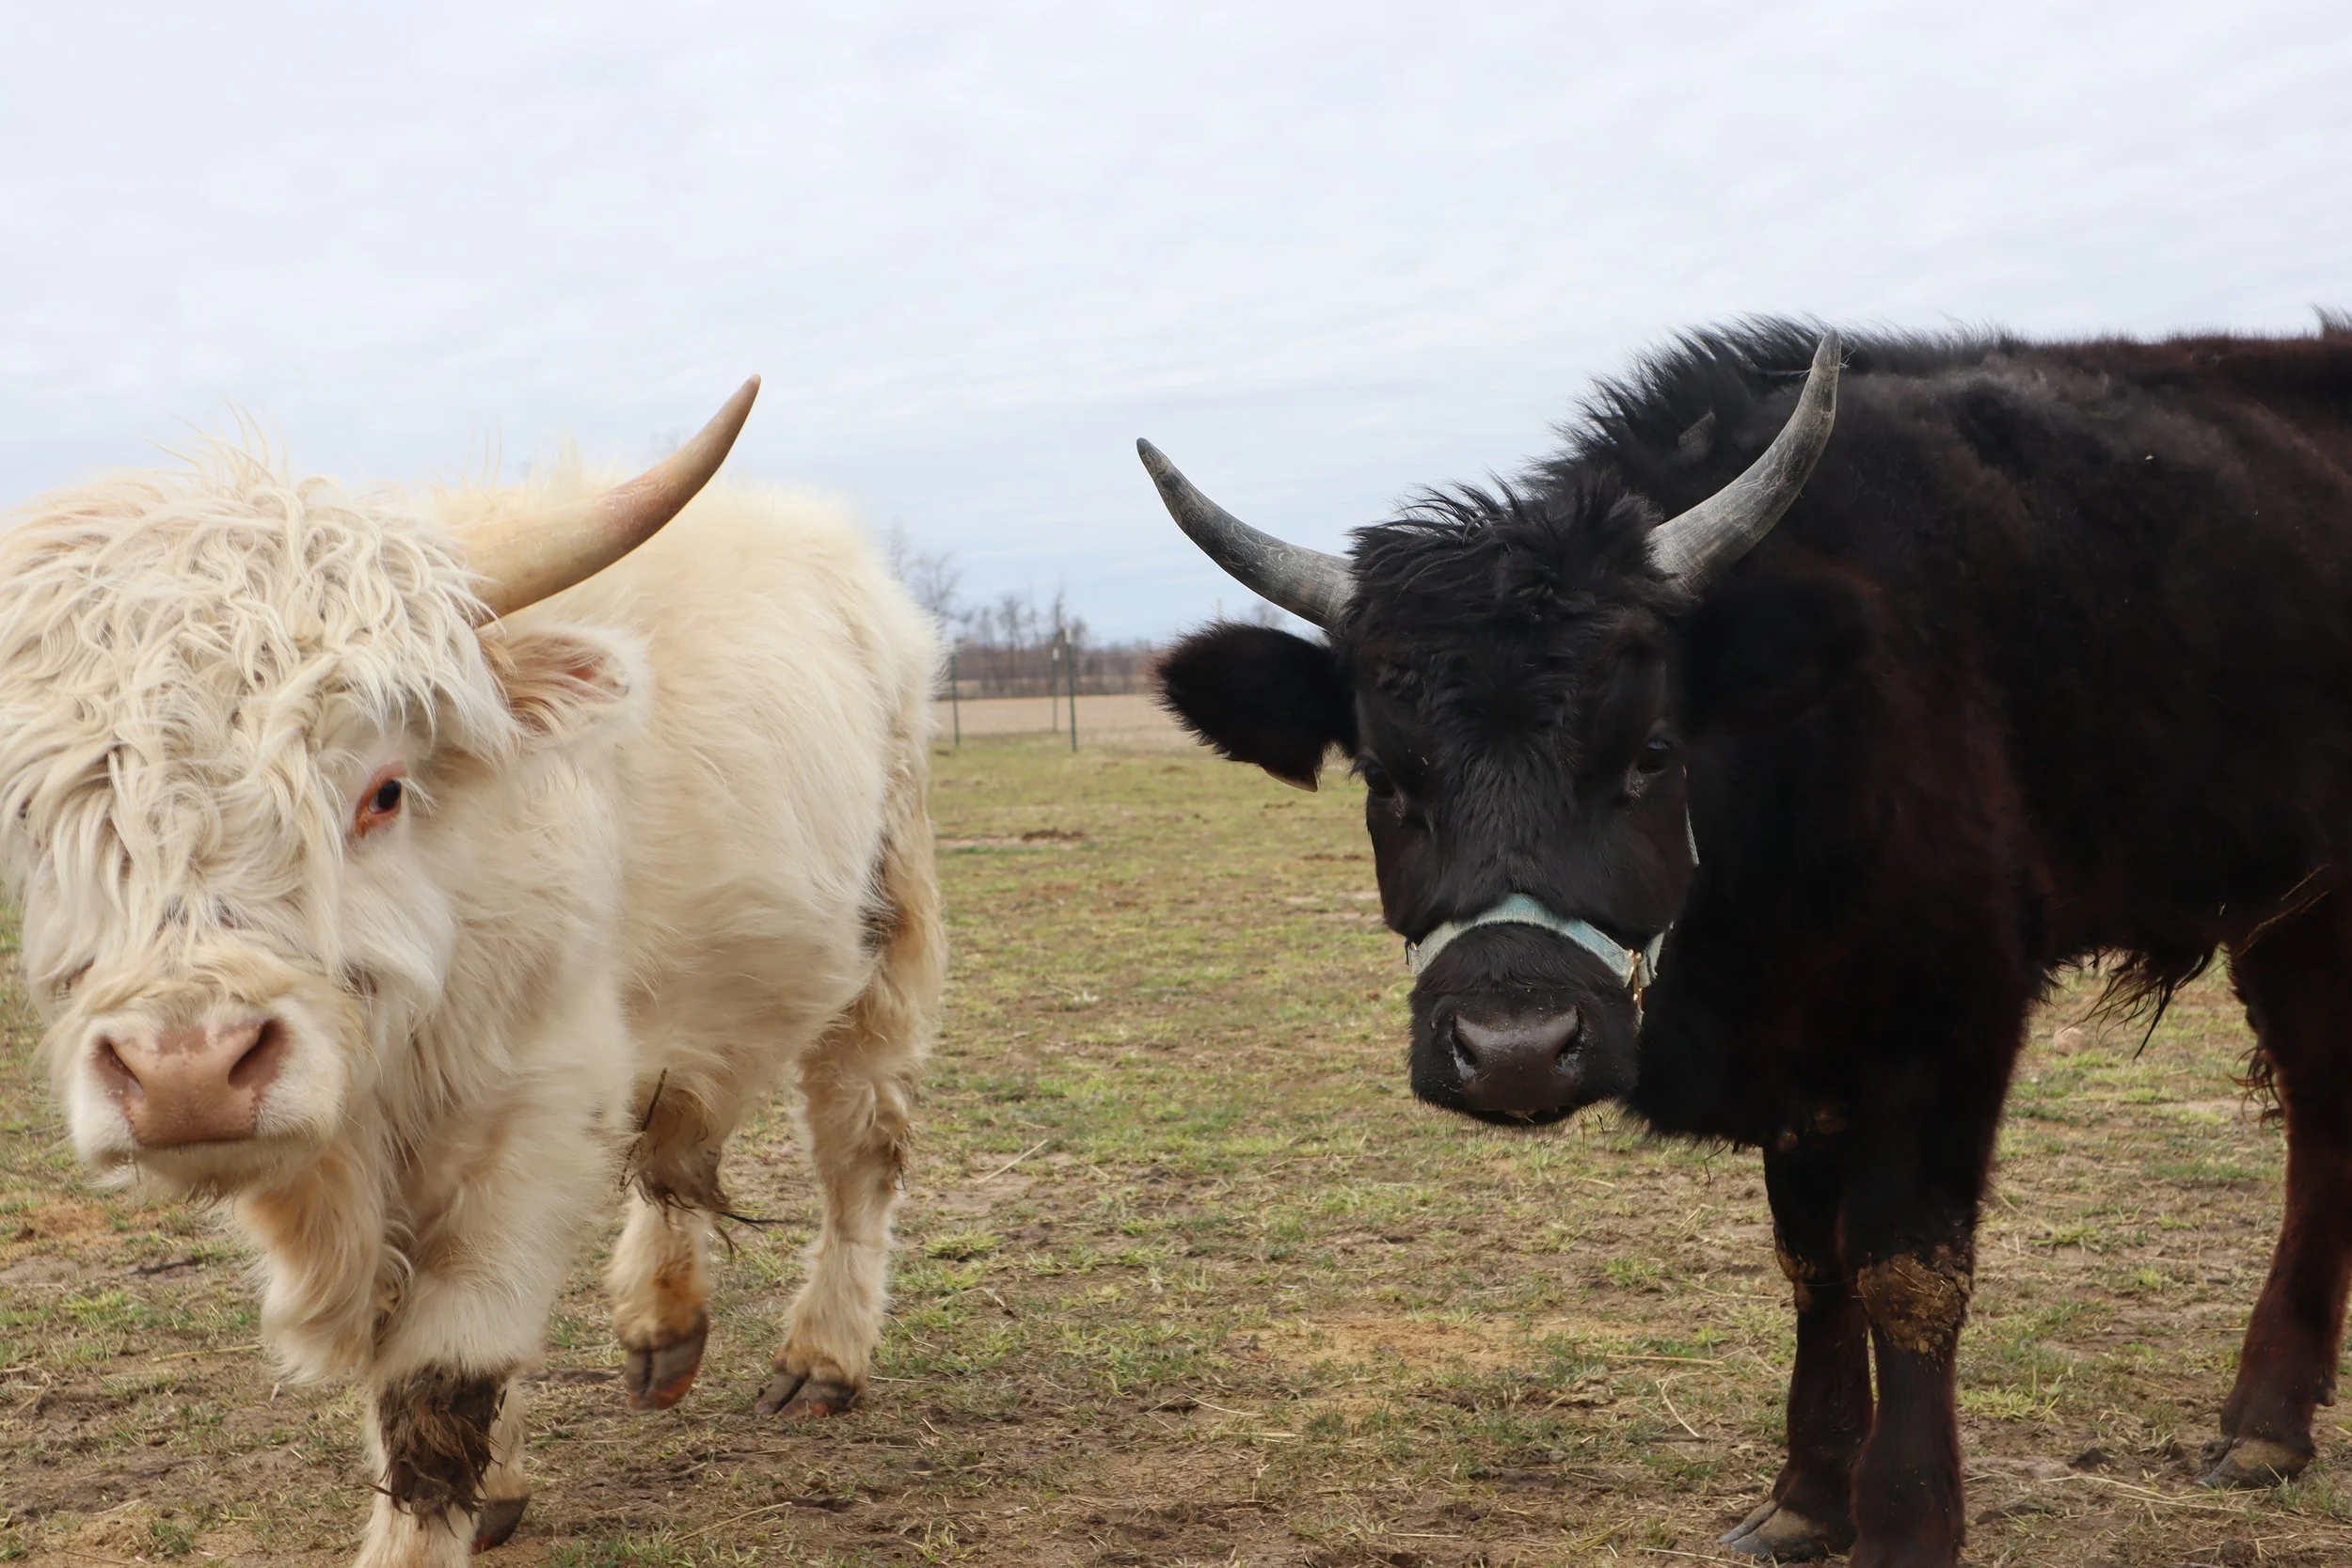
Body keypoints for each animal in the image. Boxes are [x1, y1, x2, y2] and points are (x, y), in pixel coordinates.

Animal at [0, 382, 945, 1567]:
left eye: (384, 789)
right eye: (35, 818)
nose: (186, 1072)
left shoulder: (532, 1116)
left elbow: (436, 1392)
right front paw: (501, 1475)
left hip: (885, 933)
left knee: (859, 1141)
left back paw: (824, 1351)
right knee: (676, 1133)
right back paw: (662, 1315)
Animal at [1140, 317, 2352, 1567]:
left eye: (1651, 749)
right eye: (1384, 777)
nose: (1515, 1047)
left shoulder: (1950, 1013)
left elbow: (1905, 1268)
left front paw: (1906, 1522)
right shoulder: (1799, 1058)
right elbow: (1812, 1260)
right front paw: (1808, 1494)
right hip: (2289, 921)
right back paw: (2268, 1420)